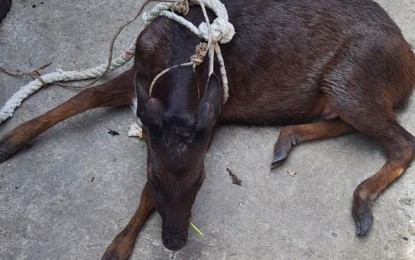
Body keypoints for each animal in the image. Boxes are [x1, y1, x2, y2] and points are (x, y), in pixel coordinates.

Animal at [0, 0, 415, 258]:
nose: (175, 241)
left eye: (200, 179)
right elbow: (86, 95)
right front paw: (10, 140)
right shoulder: (142, 80)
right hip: (342, 89)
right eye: (154, 176)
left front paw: (117, 247)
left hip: (352, 78)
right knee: (351, 123)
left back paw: (360, 203)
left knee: (402, 141)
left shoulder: (211, 119)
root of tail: (408, 60)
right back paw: (287, 139)